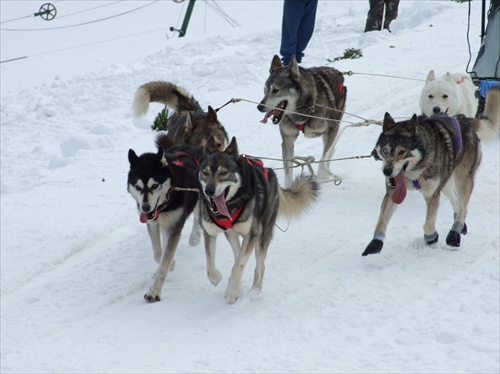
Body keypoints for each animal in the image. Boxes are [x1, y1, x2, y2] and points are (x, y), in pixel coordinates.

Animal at [128, 134, 202, 300]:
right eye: (138, 187)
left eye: (155, 185)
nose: (145, 208)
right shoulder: (153, 223)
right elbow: (158, 254)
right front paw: (171, 264)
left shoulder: (174, 227)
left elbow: (164, 261)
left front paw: (154, 291)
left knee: (198, 217)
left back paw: (195, 237)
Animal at [197, 137, 318, 304]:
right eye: (205, 173)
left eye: (223, 173)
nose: (209, 191)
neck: (231, 205)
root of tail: (271, 174)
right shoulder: (210, 233)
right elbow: (211, 266)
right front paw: (218, 279)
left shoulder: (252, 234)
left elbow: (239, 264)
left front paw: (232, 292)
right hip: (233, 234)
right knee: (238, 254)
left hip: (262, 234)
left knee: (259, 264)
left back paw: (255, 290)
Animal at [258, 54, 348, 188]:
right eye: (265, 90)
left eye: (275, 90)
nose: (259, 107)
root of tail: (335, 70)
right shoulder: (287, 141)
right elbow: (288, 172)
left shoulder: (332, 129)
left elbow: (324, 159)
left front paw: (322, 177)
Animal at [364, 87, 500, 256]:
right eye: (384, 150)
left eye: (402, 152)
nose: (387, 171)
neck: (414, 171)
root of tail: (465, 119)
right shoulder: (393, 192)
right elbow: (381, 220)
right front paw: (375, 243)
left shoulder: (432, 195)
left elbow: (428, 223)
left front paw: (431, 238)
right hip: (446, 182)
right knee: (456, 200)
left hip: (463, 178)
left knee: (463, 206)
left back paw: (455, 232)